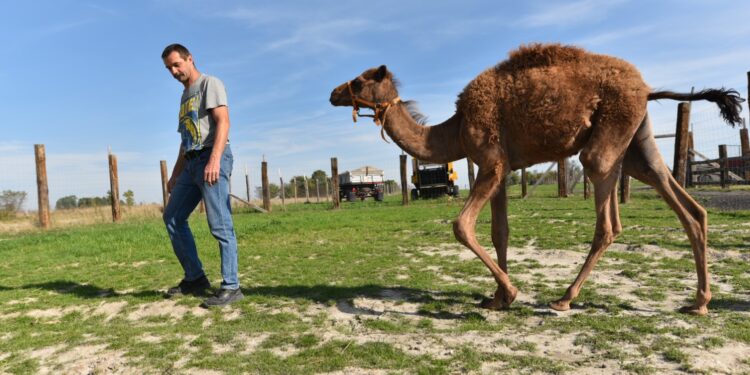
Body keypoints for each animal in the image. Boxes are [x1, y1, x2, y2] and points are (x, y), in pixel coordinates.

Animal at [330, 43, 748, 318]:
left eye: (359, 80)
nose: (334, 92)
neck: (454, 128)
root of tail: (647, 89)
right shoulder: (501, 169)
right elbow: (500, 232)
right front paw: (496, 297)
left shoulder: (491, 162)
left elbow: (462, 226)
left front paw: (511, 292)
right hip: (636, 142)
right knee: (687, 206)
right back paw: (698, 302)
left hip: (608, 138)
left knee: (609, 221)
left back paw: (564, 298)